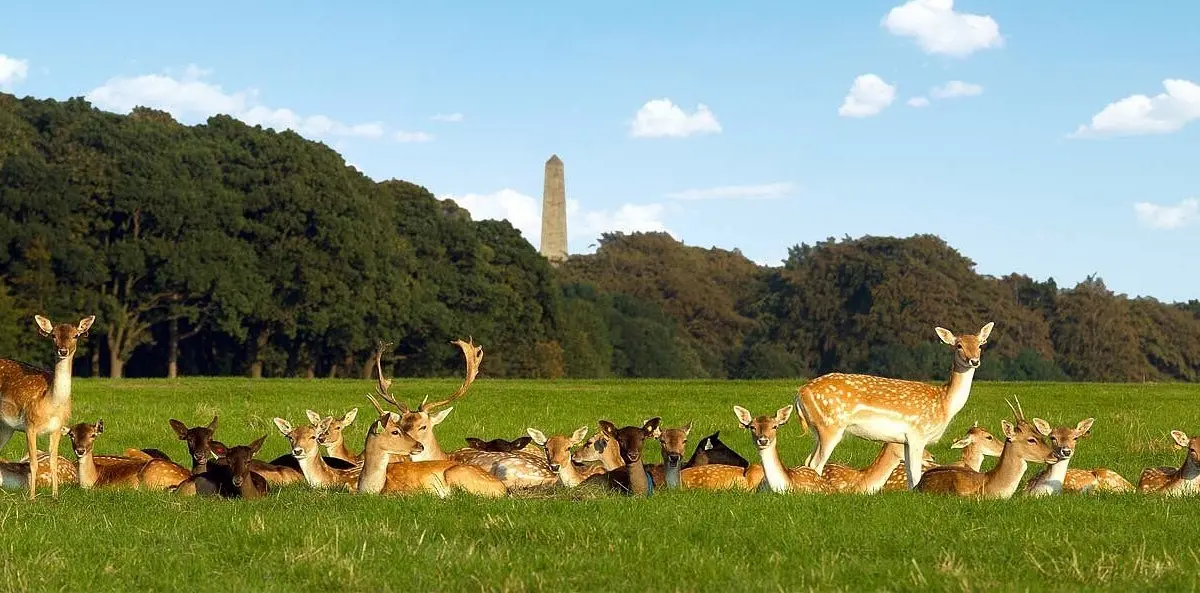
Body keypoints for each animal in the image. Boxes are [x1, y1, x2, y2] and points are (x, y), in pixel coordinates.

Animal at [0, 314, 95, 498]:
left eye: (76, 335)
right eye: (53, 336)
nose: (63, 351)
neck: (51, 405)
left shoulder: (58, 428)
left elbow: (53, 461)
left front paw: (55, 496)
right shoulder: (29, 425)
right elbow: (33, 464)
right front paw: (31, 497)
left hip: (6, 427)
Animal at [368, 339, 556, 489]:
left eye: (423, 426)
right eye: (399, 426)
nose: (413, 446)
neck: (443, 456)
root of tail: (553, 476)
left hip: (507, 466)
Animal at [794, 322, 994, 490]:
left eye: (980, 345)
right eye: (958, 345)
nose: (974, 361)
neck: (944, 403)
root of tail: (800, 394)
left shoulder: (904, 440)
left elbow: (910, 476)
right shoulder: (917, 434)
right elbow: (915, 474)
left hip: (817, 430)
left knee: (808, 460)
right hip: (830, 426)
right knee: (815, 463)